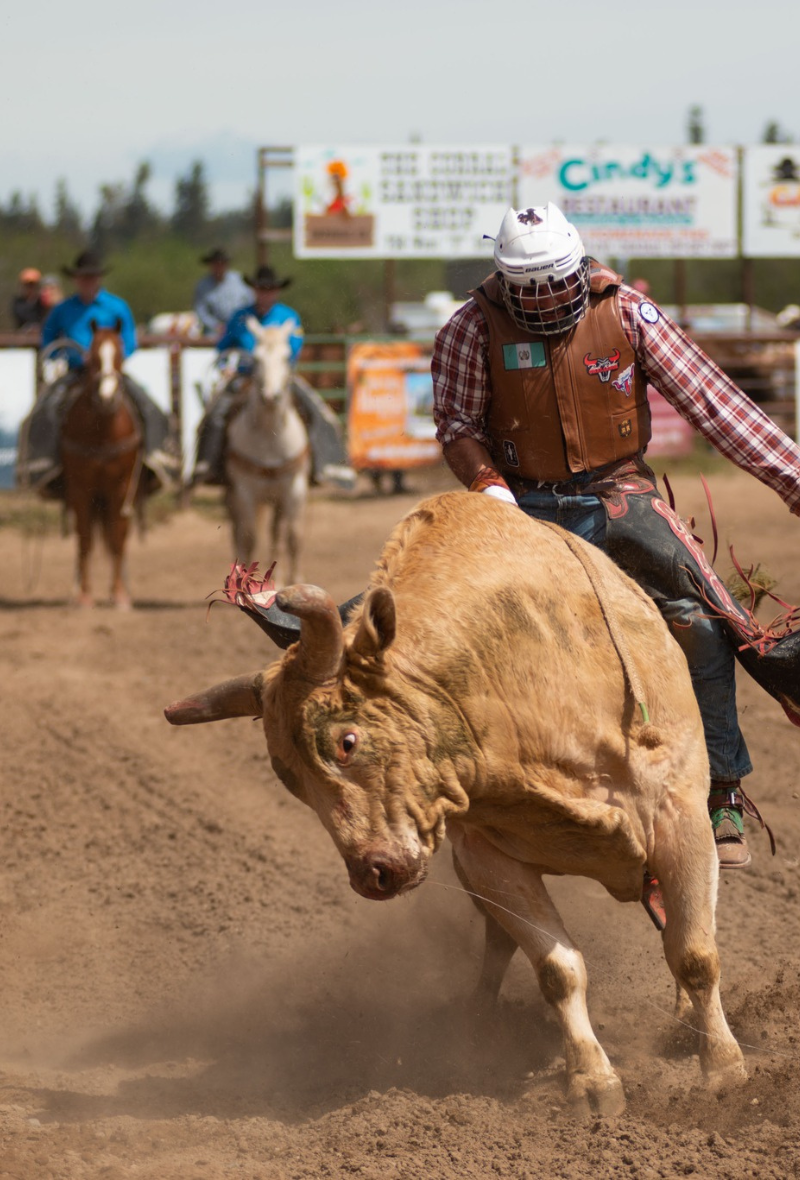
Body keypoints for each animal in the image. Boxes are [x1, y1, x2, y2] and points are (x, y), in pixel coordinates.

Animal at [61, 318, 145, 608]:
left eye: (119, 355)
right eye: (94, 357)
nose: (107, 397)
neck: (102, 432)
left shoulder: (121, 487)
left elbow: (117, 539)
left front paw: (119, 595)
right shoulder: (79, 488)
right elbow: (85, 539)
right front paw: (84, 594)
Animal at [166, 488, 750, 1113]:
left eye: (346, 742)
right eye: (288, 778)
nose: (373, 873)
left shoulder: (681, 820)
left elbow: (694, 954)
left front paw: (723, 1070)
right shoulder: (487, 860)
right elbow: (558, 968)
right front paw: (593, 1082)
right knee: (499, 941)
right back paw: (478, 1024)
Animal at [225, 320, 313, 582]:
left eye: (286, 357)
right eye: (256, 358)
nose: (271, 397)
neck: (270, 437)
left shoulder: (294, 488)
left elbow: (293, 537)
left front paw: (296, 581)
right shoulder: (245, 490)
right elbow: (250, 537)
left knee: (277, 534)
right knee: (240, 534)